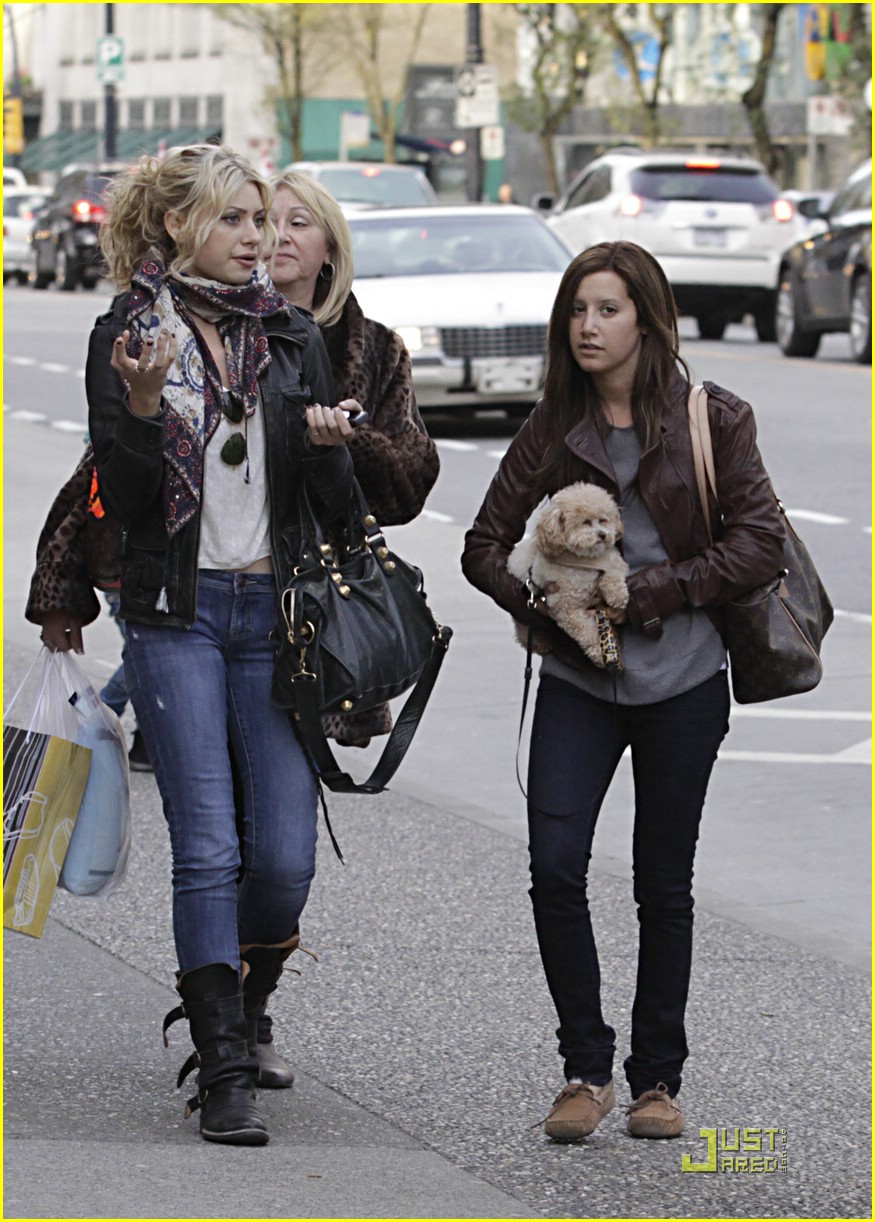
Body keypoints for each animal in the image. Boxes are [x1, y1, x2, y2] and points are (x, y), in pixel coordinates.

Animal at [506, 482, 628, 668]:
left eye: (603, 520)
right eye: (585, 522)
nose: (603, 535)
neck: (584, 561)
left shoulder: (611, 560)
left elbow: (613, 573)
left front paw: (618, 595)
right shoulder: (564, 607)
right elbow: (586, 631)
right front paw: (600, 653)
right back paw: (540, 642)